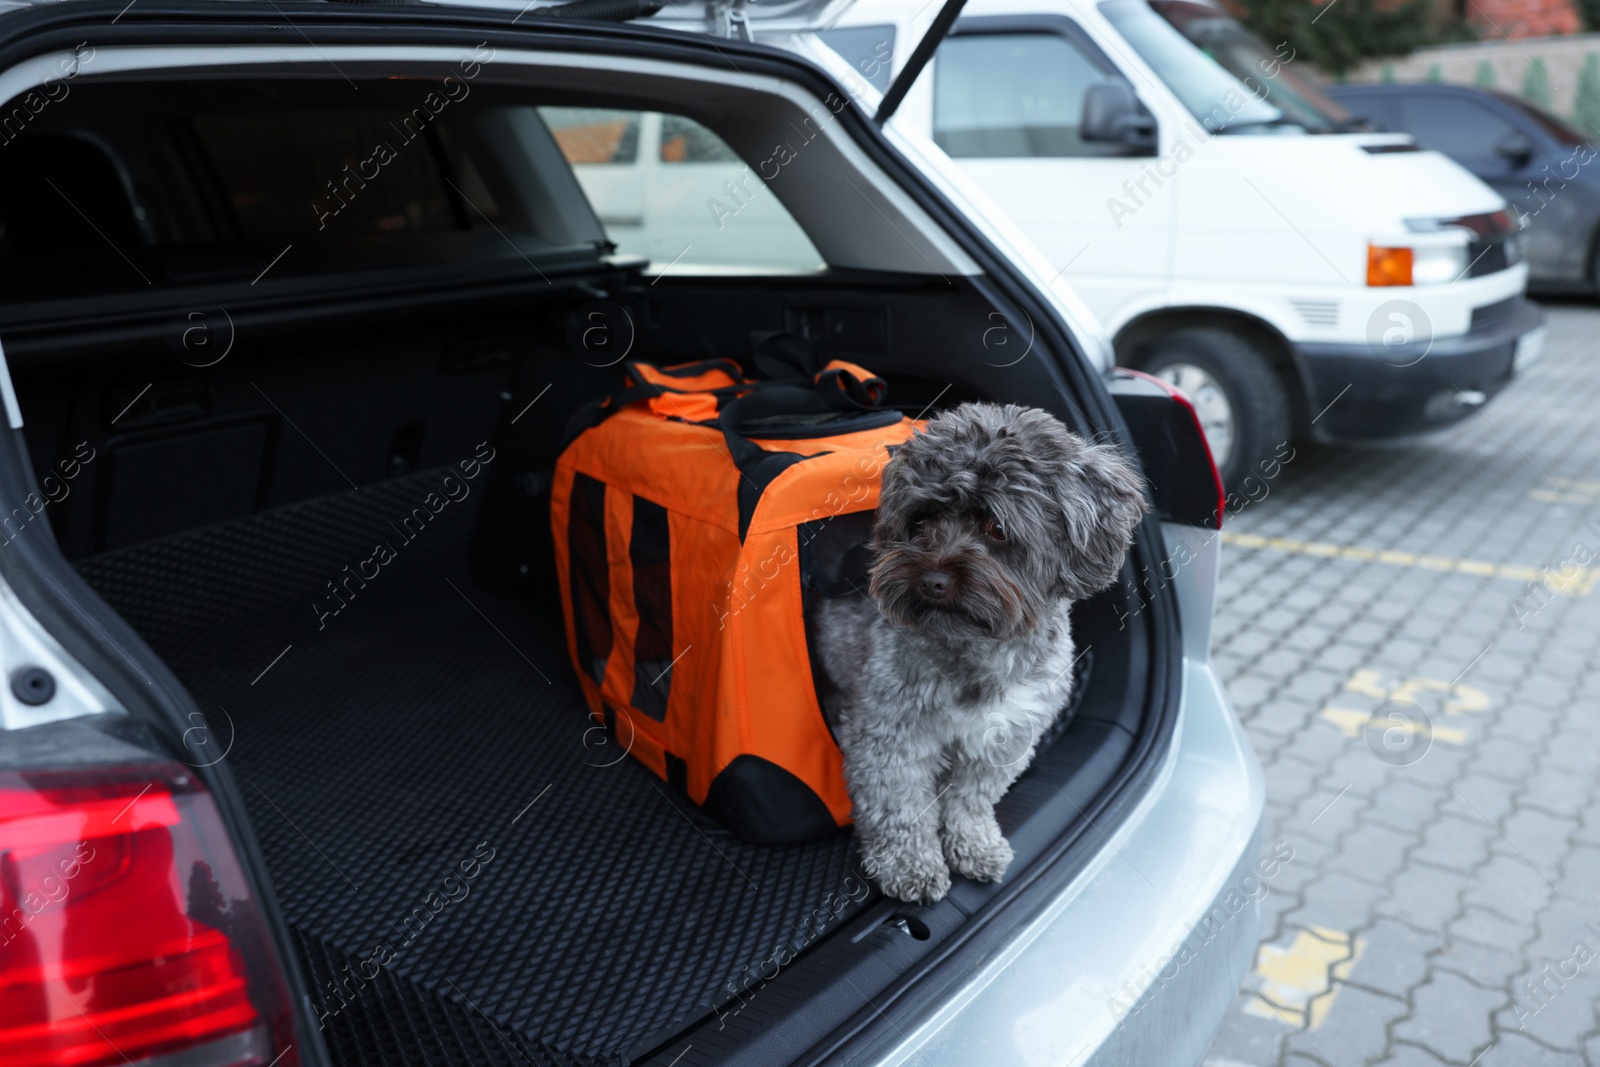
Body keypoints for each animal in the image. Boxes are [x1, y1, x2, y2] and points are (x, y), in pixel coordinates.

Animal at [819, 399, 1145, 902]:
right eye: (920, 521)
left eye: (996, 527)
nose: (932, 581)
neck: (980, 649)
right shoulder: (891, 734)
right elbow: (899, 805)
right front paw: (910, 866)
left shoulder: (1005, 735)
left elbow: (970, 799)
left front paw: (973, 846)